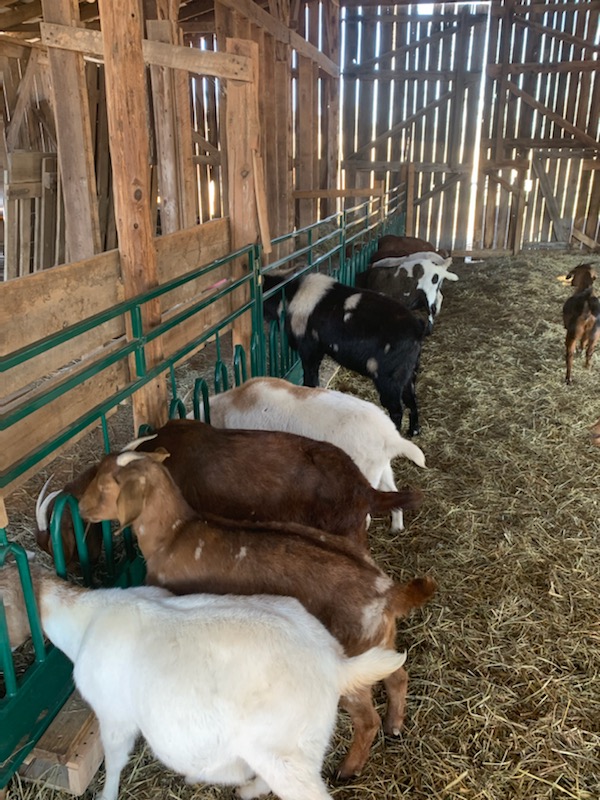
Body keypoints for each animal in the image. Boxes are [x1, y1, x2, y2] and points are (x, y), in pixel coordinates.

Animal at [0, 561, 407, 800]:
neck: (85, 620)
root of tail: (334, 663)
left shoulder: (115, 715)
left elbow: (114, 762)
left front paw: (107, 795)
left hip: (286, 753)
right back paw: (245, 788)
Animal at [78, 450, 437, 778]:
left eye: (105, 487)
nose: (81, 507)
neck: (174, 533)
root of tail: (388, 592)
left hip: (354, 658)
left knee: (366, 719)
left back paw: (347, 770)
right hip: (380, 642)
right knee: (398, 677)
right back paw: (395, 726)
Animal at [206, 376, 426, 531]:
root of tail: (390, 436)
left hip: (364, 472)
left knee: (366, 516)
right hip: (380, 466)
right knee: (393, 490)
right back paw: (396, 527)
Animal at [262, 271, 427, 436]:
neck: (291, 296)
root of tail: (418, 329)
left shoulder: (309, 348)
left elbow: (310, 377)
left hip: (389, 378)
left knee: (397, 410)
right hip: (408, 373)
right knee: (411, 400)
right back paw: (414, 430)